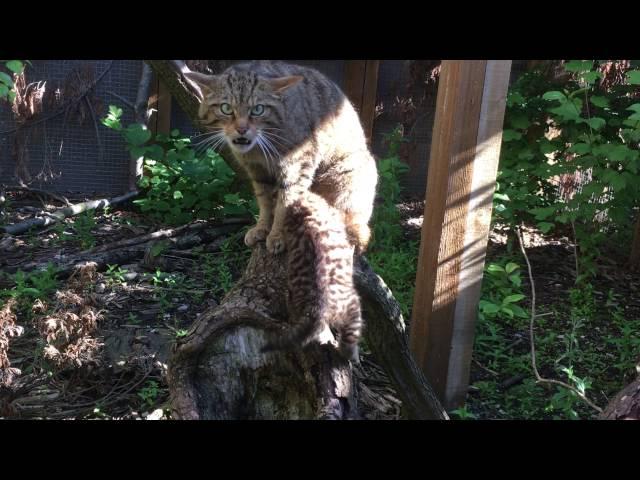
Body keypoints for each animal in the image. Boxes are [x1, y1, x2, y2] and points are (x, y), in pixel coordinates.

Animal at [182, 61, 378, 255]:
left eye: (258, 110)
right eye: (226, 108)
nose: (242, 129)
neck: (258, 149)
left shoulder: (297, 168)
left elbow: (285, 206)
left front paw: (277, 235)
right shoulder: (257, 172)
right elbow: (265, 203)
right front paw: (261, 228)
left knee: (353, 225)